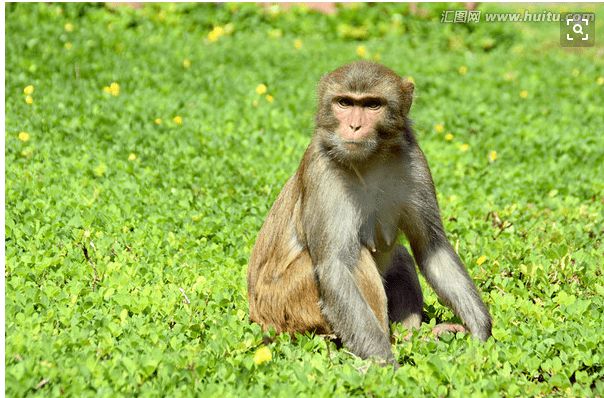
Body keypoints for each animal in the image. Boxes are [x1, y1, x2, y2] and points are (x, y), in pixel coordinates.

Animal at [248, 61, 494, 364]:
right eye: (344, 102)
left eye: (372, 105)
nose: (354, 126)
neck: (370, 160)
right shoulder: (322, 170)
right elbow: (335, 266)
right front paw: (384, 364)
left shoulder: (415, 160)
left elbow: (431, 247)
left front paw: (480, 334)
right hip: (285, 304)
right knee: (355, 258)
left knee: (400, 256)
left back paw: (411, 338)